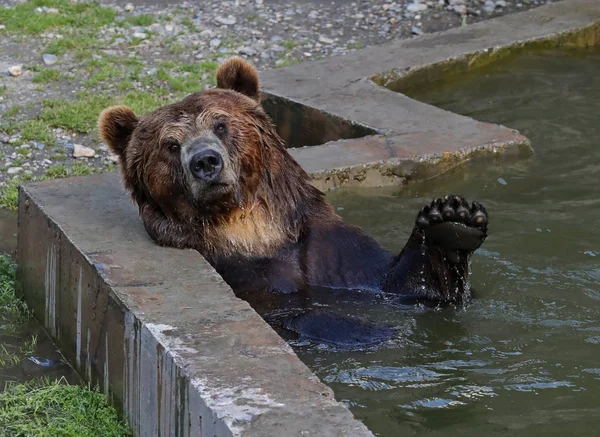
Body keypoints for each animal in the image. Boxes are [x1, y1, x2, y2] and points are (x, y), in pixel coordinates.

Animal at [98, 57, 490, 344]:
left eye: (220, 125)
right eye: (170, 144)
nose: (205, 162)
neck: (252, 230)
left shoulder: (327, 248)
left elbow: (396, 281)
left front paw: (452, 222)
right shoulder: (235, 268)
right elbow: (282, 311)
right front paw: (366, 330)